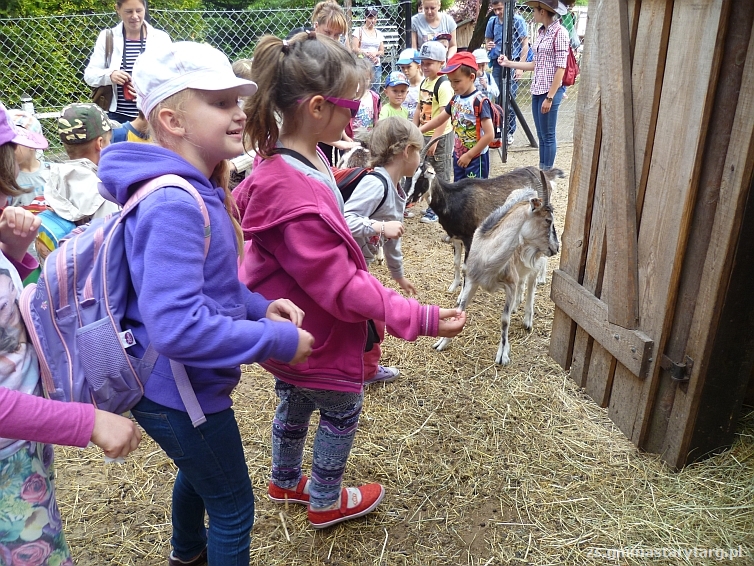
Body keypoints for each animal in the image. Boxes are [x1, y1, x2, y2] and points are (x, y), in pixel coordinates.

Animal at [406, 141, 560, 292]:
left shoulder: (469, 239)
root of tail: (544, 175)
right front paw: (453, 286)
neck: (452, 199)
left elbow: (465, 267)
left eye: (422, 177)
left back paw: (541, 279)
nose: (407, 199)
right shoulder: (455, 237)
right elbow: (456, 262)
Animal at [428, 173, 560, 366]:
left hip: (536, 257)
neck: (488, 259)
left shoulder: (510, 284)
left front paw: (502, 355)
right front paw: (442, 342)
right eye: (548, 220)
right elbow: (460, 308)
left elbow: (505, 320)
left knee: (532, 284)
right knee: (523, 281)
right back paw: (517, 305)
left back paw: (527, 320)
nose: (556, 247)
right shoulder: (473, 279)